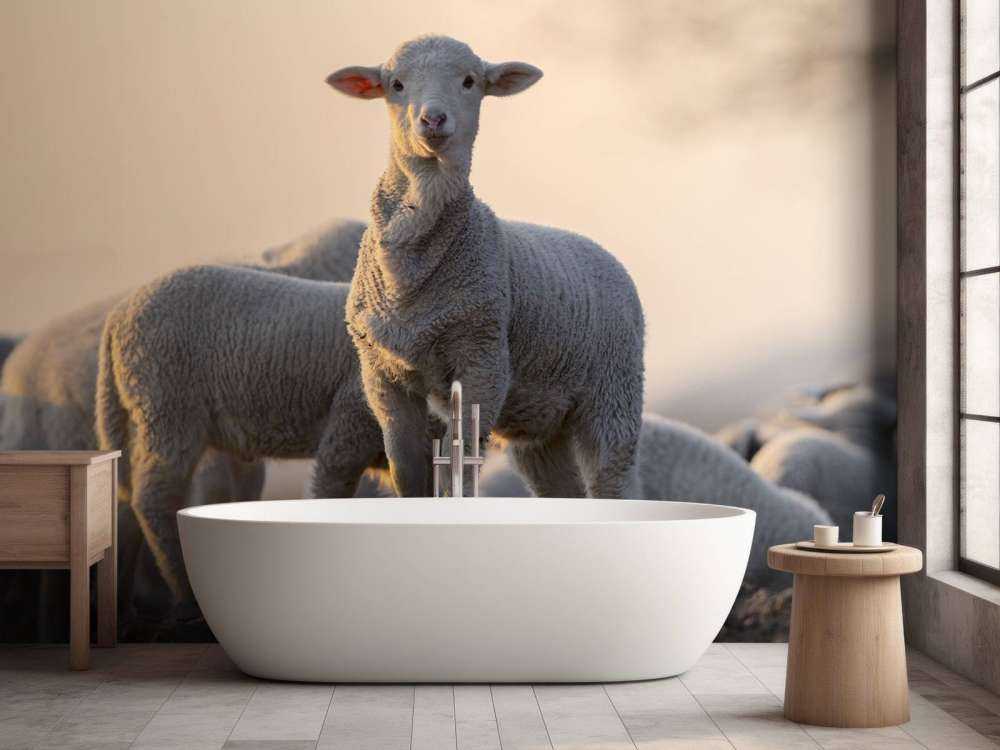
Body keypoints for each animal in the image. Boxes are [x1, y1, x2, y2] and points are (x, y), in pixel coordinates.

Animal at [97, 267, 389, 622]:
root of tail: (117, 317)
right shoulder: (354, 415)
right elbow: (330, 485)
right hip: (167, 402)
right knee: (153, 498)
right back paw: (186, 599)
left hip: (142, 408)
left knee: (123, 501)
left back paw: (122, 608)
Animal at [329, 36, 645, 499]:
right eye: (396, 85)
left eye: (469, 81)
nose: (433, 119)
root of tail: (596, 247)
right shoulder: (383, 376)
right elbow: (406, 471)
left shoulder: (482, 358)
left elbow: (460, 465)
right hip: (541, 422)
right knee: (560, 485)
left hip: (613, 393)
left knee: (615, 478)